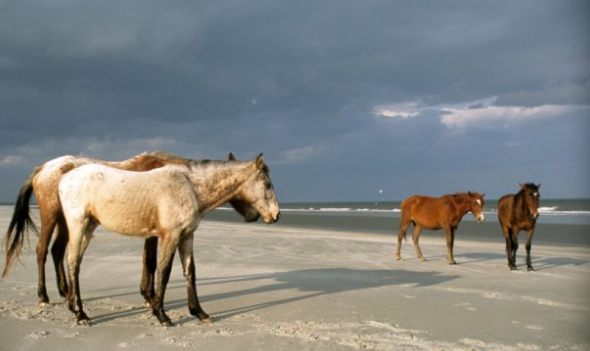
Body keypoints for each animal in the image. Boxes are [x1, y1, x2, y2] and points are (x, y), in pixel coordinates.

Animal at [1, 151, 260, 308]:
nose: (255, 216)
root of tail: (44, 167)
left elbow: (149, 261)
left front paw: (148, 295)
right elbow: (152, 262)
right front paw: (150, 298)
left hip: (69, 222)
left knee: (57, 251)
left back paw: (67, 294)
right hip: (51, 217)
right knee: (42, 251)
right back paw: (44, 297)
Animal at [59, 154, 280, 328]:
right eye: (267, 184)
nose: (276, 215)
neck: (190, 187)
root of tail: (64, 178)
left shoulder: (187, 235)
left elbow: (190, 272)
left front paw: (199, 313)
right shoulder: (170, 236)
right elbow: (163, 272)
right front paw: (161, 315)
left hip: (89, 228)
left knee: (75, 262)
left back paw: (74, 308)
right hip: (79, 225)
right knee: (72, 262)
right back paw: (81, 314)